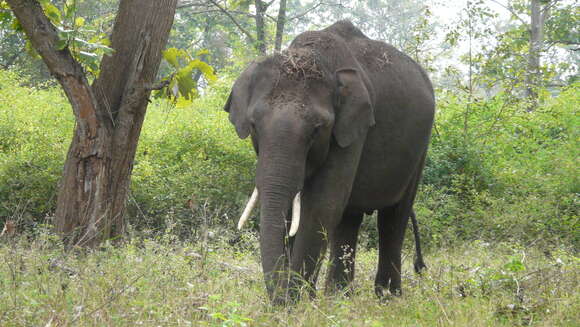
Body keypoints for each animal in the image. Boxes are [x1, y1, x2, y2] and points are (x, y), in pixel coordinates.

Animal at [224, 19, 432, 304]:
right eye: (254, 125)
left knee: (393, 217)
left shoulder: (352, 129)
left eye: (316, 130)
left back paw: (388, 298)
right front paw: (298, 300)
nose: (278, 301)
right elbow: (295, 210)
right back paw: (339, 297)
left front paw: (296, 302)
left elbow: (321, 205)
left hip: (420, 147)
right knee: (350, 217)